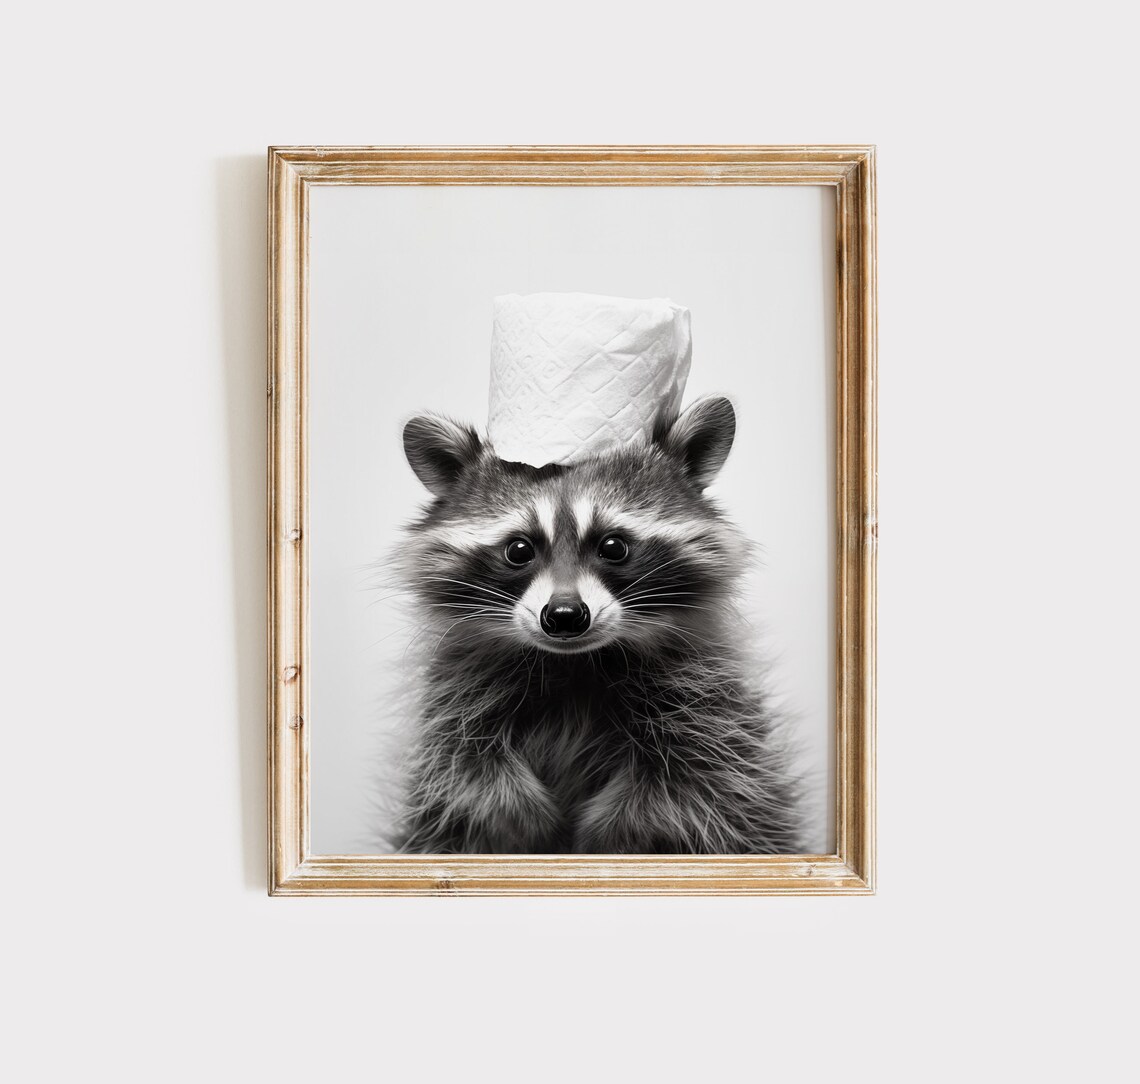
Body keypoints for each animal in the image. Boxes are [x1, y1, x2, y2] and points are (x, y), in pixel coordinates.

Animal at [392, 396, 802, 854]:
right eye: (519, 550)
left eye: (613, 546)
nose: (564, 616)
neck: (574, 662)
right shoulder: (456, 694)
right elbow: (465, 766)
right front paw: (521, 814)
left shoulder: (706, 703)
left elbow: (689, 779)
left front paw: (612, 832)